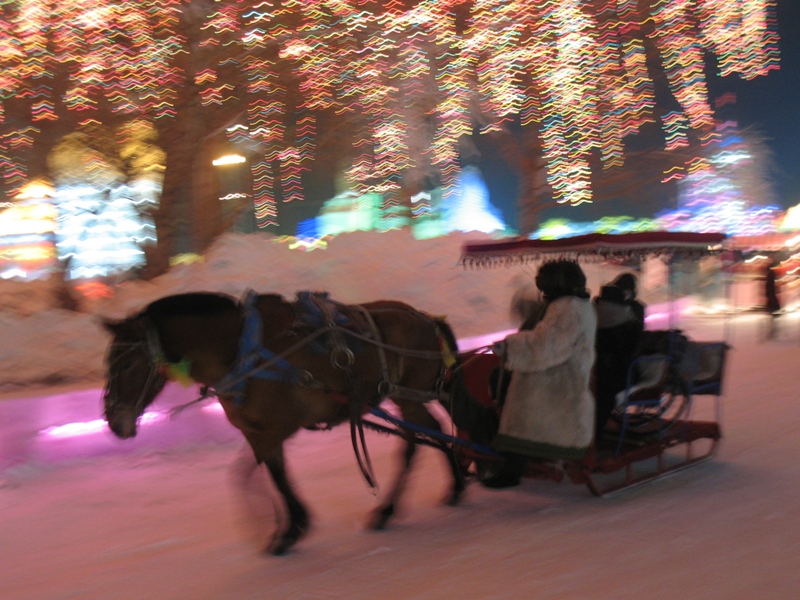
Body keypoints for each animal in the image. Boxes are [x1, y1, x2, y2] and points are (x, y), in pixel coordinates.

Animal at [101, 290, 466, 552]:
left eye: (126, 364)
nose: (114, 422)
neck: (242, 353)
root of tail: (426, 318)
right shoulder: (255, 432)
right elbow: (256, 475)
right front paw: (285, 525)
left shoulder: (277, 428)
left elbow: (272, 476)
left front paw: (291, 528)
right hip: (410, 396)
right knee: (433, 432)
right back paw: (456, 484)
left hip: (409, 396)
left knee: (418, 441)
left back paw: (393, 507)